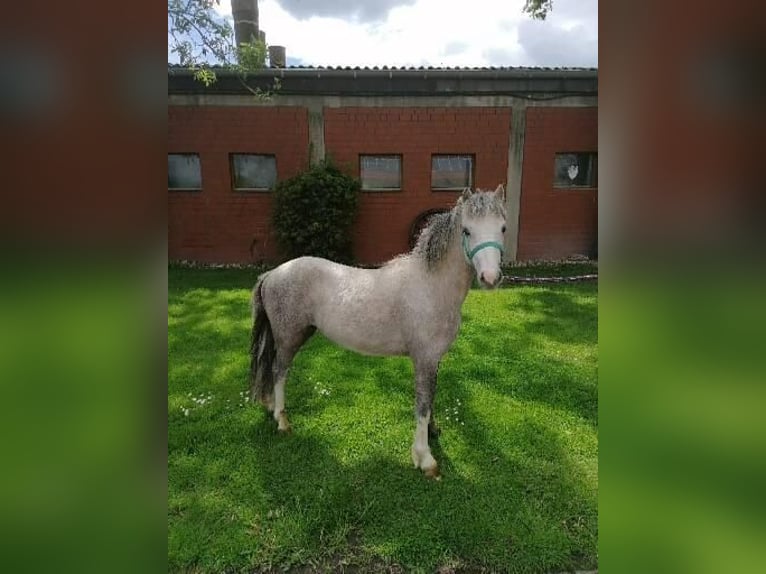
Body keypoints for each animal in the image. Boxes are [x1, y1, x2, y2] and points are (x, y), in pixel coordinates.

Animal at [249, 185, 507, 479]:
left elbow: (431, 397)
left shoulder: (434, 359)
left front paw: (432, 433)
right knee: (280, 371)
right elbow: (422, 404)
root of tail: (272, 274)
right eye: (467, 230)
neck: (431, 287)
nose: (490, 278)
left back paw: (271, 408)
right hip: (289, 338)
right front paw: (425, 459)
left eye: (502, 228)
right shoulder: (424, 359)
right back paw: (282, 420)